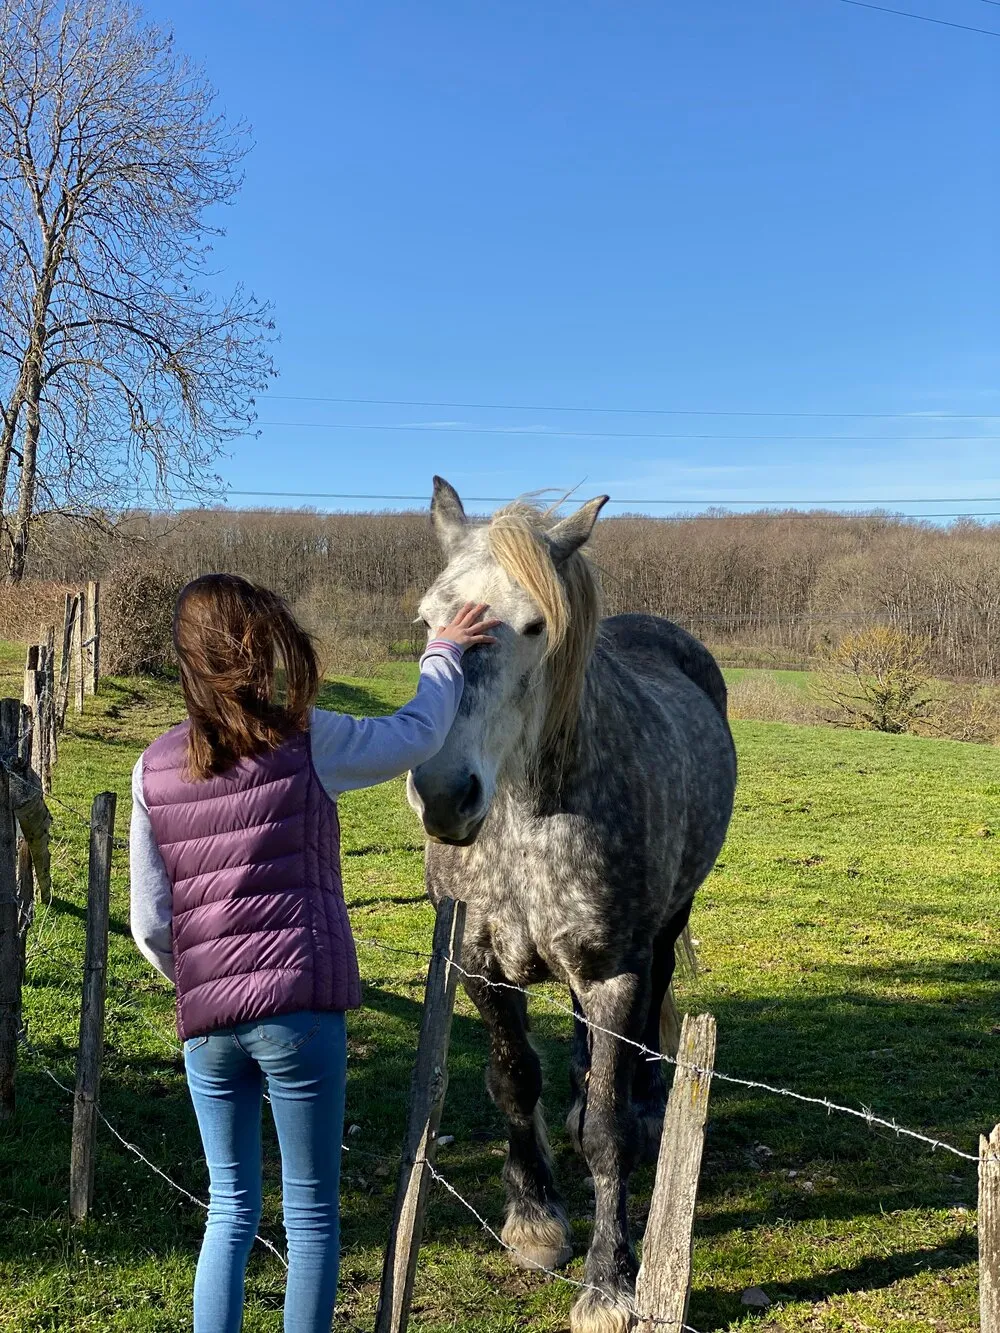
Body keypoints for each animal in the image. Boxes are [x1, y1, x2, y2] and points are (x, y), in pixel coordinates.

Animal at [407, 478, 737, 1332]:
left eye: (533, 626)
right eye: (426, 619)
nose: (444, 793)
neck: (527, 822)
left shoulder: (613, 969)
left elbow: (607, 1134)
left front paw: (609, 1282)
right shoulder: (479, 965)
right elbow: (513, 1078)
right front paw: (534, 1221)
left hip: (663, 928)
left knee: (643, 1025)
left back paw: (648, 1100)